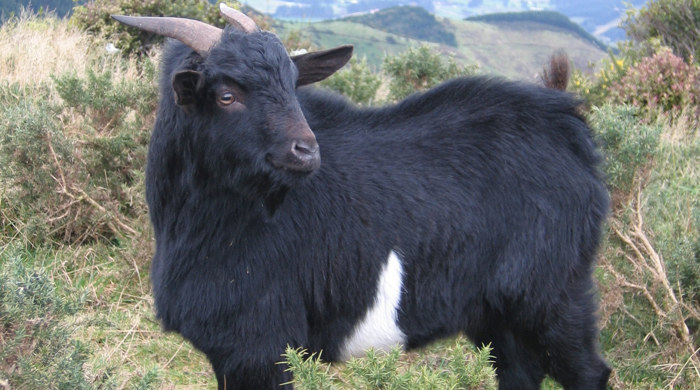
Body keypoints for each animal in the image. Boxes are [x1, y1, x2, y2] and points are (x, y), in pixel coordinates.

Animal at [113, 5, 608, 386]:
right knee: (520, 370)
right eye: (226, 95)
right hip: (498, 314)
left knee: (588, 372)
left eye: (293, 84)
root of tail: (565, 121)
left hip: (554, 293)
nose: (306, 150)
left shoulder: (260, 344)